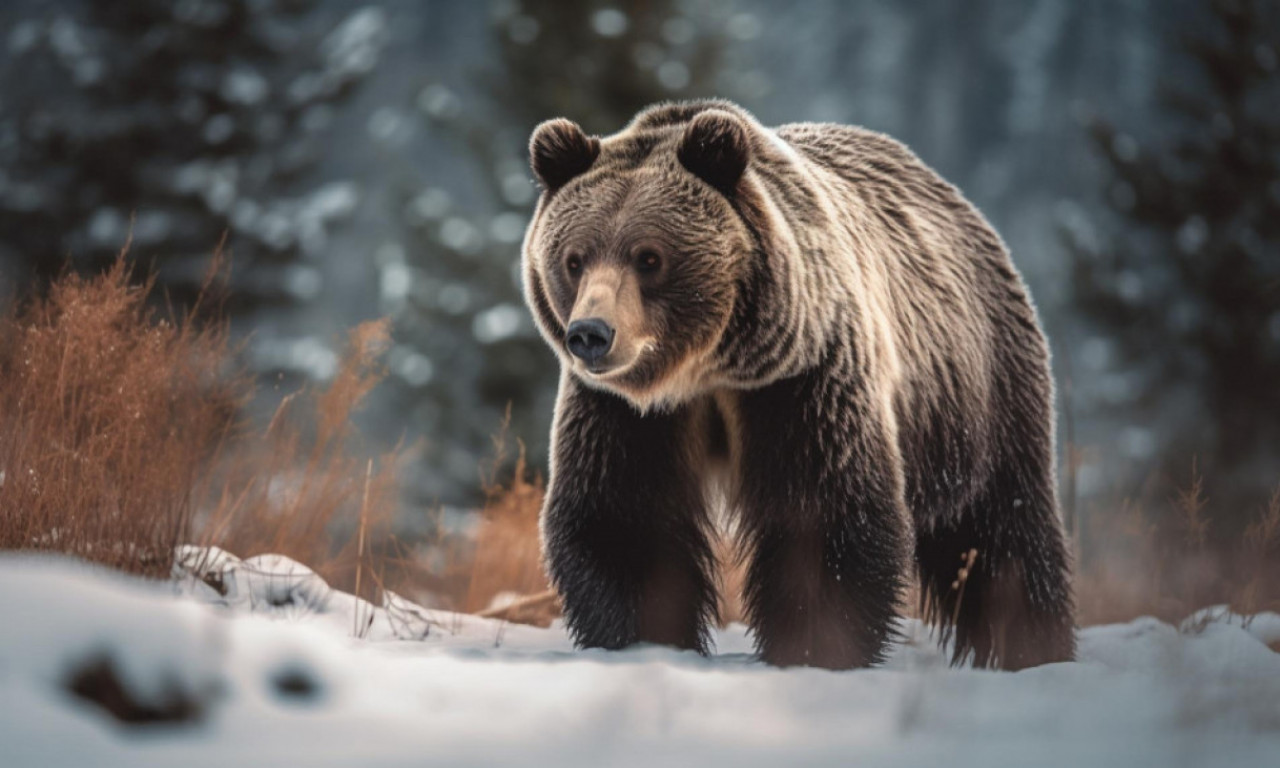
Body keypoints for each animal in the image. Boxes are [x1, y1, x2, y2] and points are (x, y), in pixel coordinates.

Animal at [517, 99, 1070, 670]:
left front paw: (816, 645)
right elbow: (625, 520)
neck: (708, 367)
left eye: (649, 256)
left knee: (1003, 528)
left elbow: (822, 519)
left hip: (978, 393)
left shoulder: (803, 380)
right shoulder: (625, 412)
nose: (591, 334)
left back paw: (1032, 644)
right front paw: (644, 640)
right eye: (574, 258)